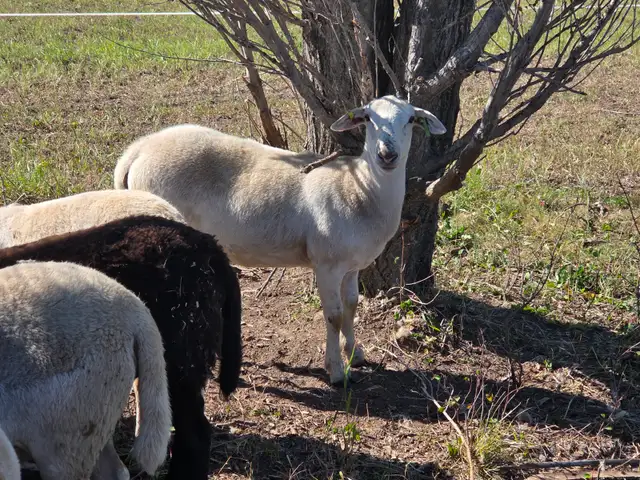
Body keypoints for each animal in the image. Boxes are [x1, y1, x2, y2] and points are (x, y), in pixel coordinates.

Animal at [113, 94, 447, 385]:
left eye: (411, 119)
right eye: (367, 118)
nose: (387, 155)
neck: (358, 187)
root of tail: (137, 151)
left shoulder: (352, 265)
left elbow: (352, 306)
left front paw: (356, 352)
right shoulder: (327, 263)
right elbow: (335, 316)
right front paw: (338, 371)